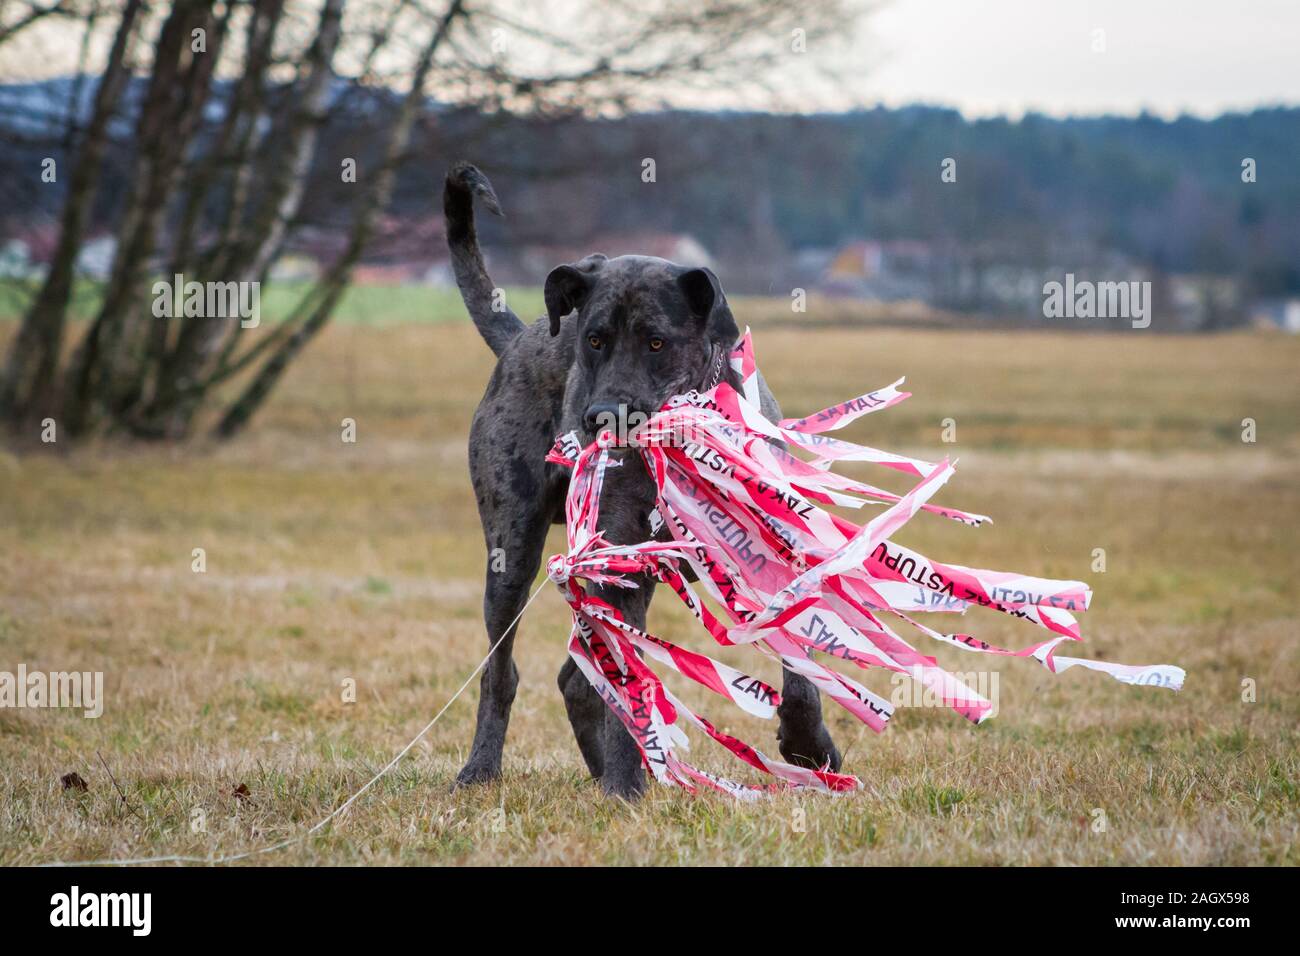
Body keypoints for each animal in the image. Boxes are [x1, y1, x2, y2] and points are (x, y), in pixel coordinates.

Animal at [441, 164, 837, 801]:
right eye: (595, 339)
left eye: (656, 341)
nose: (600, 417)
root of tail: (521, 336)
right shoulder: (619, 563)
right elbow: (626, 684)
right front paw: (627, 785)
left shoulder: (774, 552)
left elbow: (799, 668)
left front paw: (810, 747)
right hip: (512, 552)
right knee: (504, 675)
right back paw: (486, 768)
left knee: (576, 680)